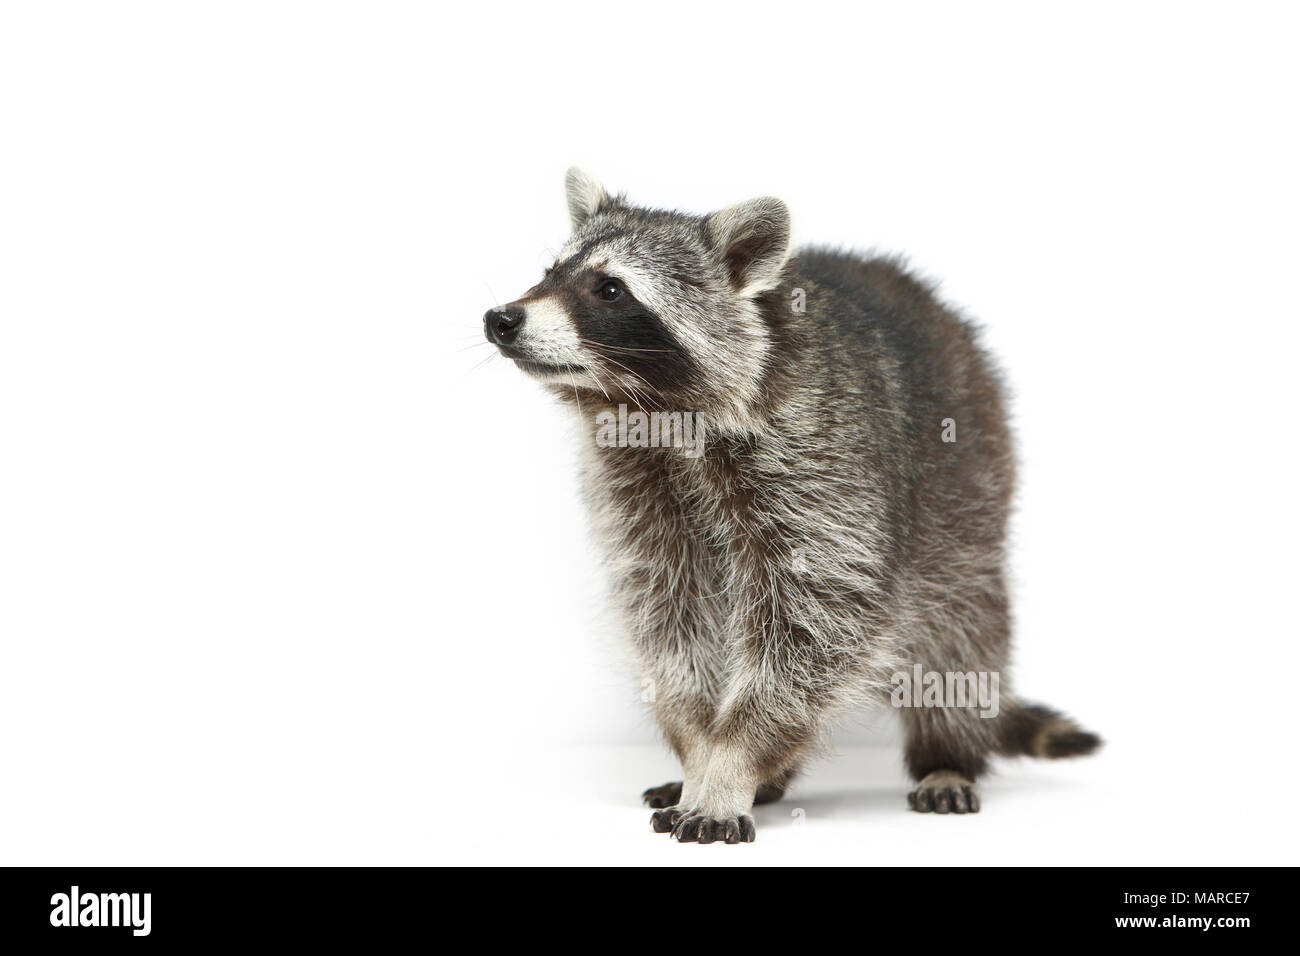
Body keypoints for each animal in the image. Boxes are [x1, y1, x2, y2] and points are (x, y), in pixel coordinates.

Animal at [486, 170, 1097, 842]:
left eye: (610, 289)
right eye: (551, 271)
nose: (501, 318)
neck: (656, 414)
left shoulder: (821, 466)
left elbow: (816, 623)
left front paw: (730, 765)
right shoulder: (635, 489)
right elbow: (669, 615)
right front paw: (701, 751)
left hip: (970, 491)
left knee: (960, 634)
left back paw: (947, 756)